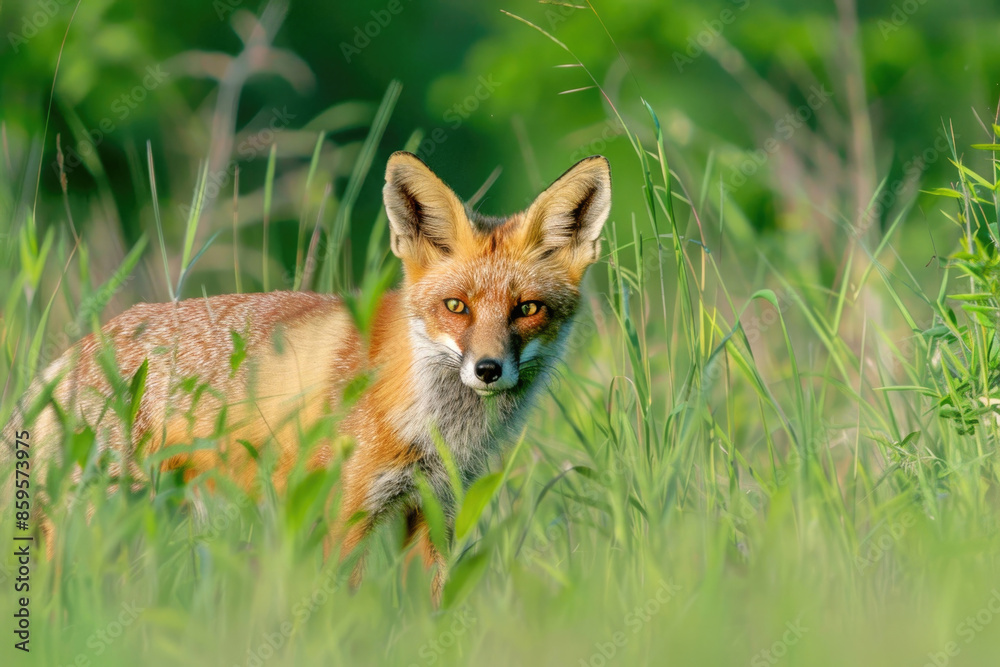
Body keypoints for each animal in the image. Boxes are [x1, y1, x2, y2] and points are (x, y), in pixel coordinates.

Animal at [2, 150, 612, 603]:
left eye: (527, 309)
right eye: (456, 307)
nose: (487, 370)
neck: (431, 426)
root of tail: (71, 353)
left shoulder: (437, 514)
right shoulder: (343, 516)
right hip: (97, 517)